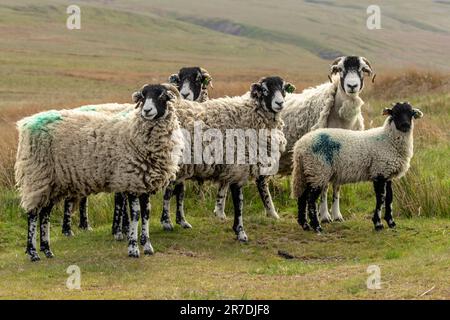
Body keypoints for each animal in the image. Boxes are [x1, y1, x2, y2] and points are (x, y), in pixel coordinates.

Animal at [14, 84, 183, 262]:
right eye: (143, 97)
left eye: (162, 96)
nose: (147, 110)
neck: (133, 130)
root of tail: (26, 123)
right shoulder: (130, 180)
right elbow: (136, 215)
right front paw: (133, 248)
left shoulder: (144, 183)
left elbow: (146, 213)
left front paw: (147, 246)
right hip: (36, 176)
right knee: (33, 214)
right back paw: (33, 252)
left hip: (52, 183)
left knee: (45, 214)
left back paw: (47, 250)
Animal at [152, 75, 296, 240]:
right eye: (265, 90)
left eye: (283, 88)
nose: (280, 103)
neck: (252, 114)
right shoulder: (238, 167)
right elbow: (239, 202)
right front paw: (240, 232)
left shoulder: (234, 167)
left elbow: (243, 190)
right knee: (169, 191)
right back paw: (166, 223)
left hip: (181, 166)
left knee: (178, 191)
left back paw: (182, 222)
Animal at [290, 102, 424, 232]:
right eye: (395, 113)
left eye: (411, 113)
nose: (405, 125)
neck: (388, 139)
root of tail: (299, 146)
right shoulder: (379, 172)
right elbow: (381, 198)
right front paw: (378, 224)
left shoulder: (388, 174)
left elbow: (389, 199)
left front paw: (391, 223)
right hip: (318, 170)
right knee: (311, 200)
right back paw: (316, 227)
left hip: (308, 171)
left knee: (302, 197)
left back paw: (305, 225)